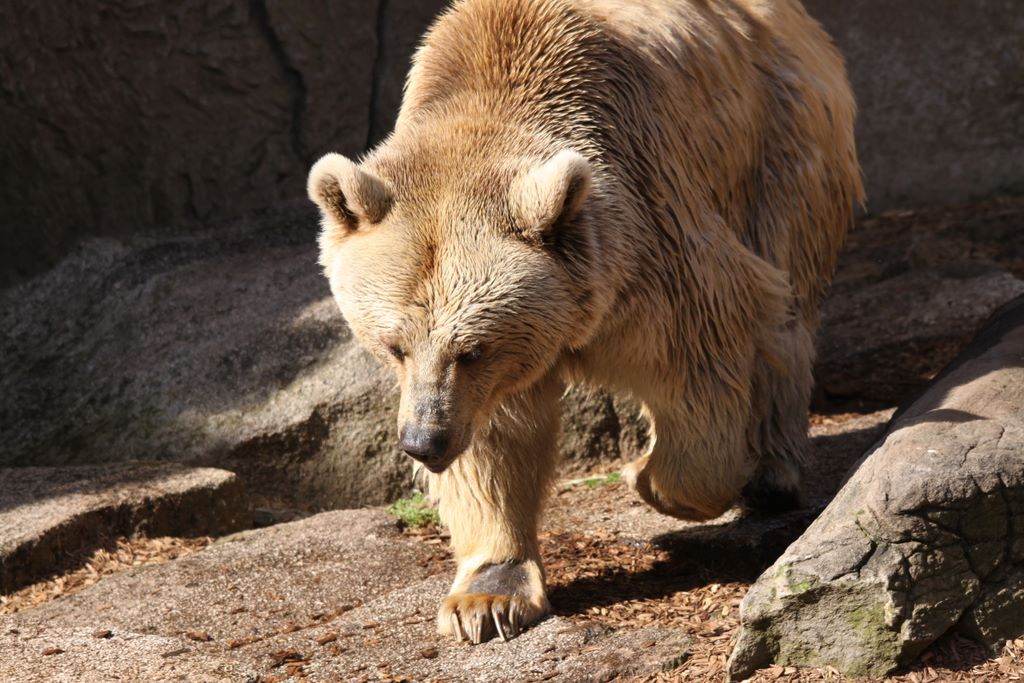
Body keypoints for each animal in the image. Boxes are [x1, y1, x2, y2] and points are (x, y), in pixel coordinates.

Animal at [308, 0, 862, 644]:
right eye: (393, 345)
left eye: (472, 348)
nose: (423, 442)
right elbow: (494, 439)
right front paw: (486, 599)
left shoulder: (648, 242)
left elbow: (702, 345)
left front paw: (646, 476)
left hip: (776, 142)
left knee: (785, 301)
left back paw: (771, 474)